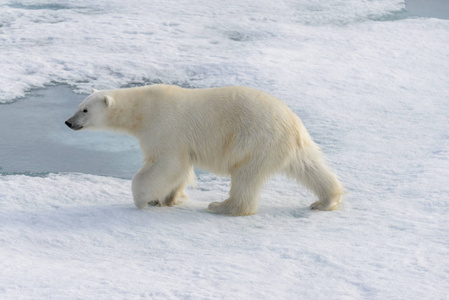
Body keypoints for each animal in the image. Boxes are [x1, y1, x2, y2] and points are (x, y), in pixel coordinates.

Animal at [65, 85, 342, 216]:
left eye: (85, 110)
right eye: (78, 106)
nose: (68, 122)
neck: (143, 109)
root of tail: (291, 123)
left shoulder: (164, 126)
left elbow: (165, 163)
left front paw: (144, 199)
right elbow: (180, 170)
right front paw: (167, 198)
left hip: (254, 140)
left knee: (245, 176)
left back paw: (222, 206)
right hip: (289, 144)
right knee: (310, 167)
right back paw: (325, 200)